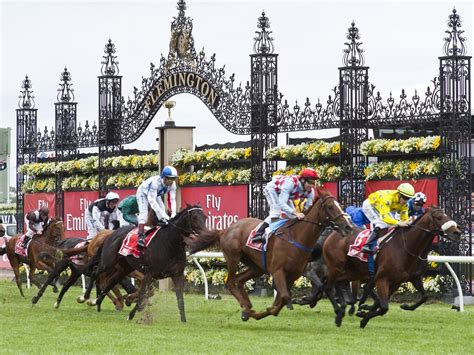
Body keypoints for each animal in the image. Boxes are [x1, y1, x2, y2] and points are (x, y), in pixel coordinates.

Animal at [187, 188, 354, 324]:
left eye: (339, 204)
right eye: (330, 206)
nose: (348, 227)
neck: (297, 237)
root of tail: (225, 230)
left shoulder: (293, 275)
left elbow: (281, 300)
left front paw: (263, 311)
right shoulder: (278, 271)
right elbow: (284, 297)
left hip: (257, 266)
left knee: (239, 281)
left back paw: (247, 308)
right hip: (233, 257)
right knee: (230, 282)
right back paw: (246, 308)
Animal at [324, 207, 462, 330]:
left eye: (447, 215)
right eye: (439, 217)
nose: (457, 233)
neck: (407, 248)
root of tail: (334, 232)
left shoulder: (407, 279)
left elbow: (424, 297)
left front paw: (404, 306)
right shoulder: (382, 279)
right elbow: (384, 307)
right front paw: (363, 318)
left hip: (353, 272)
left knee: (338, 282)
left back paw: (344, 308)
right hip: (337, 267)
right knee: (328, 285)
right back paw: (340, 312)